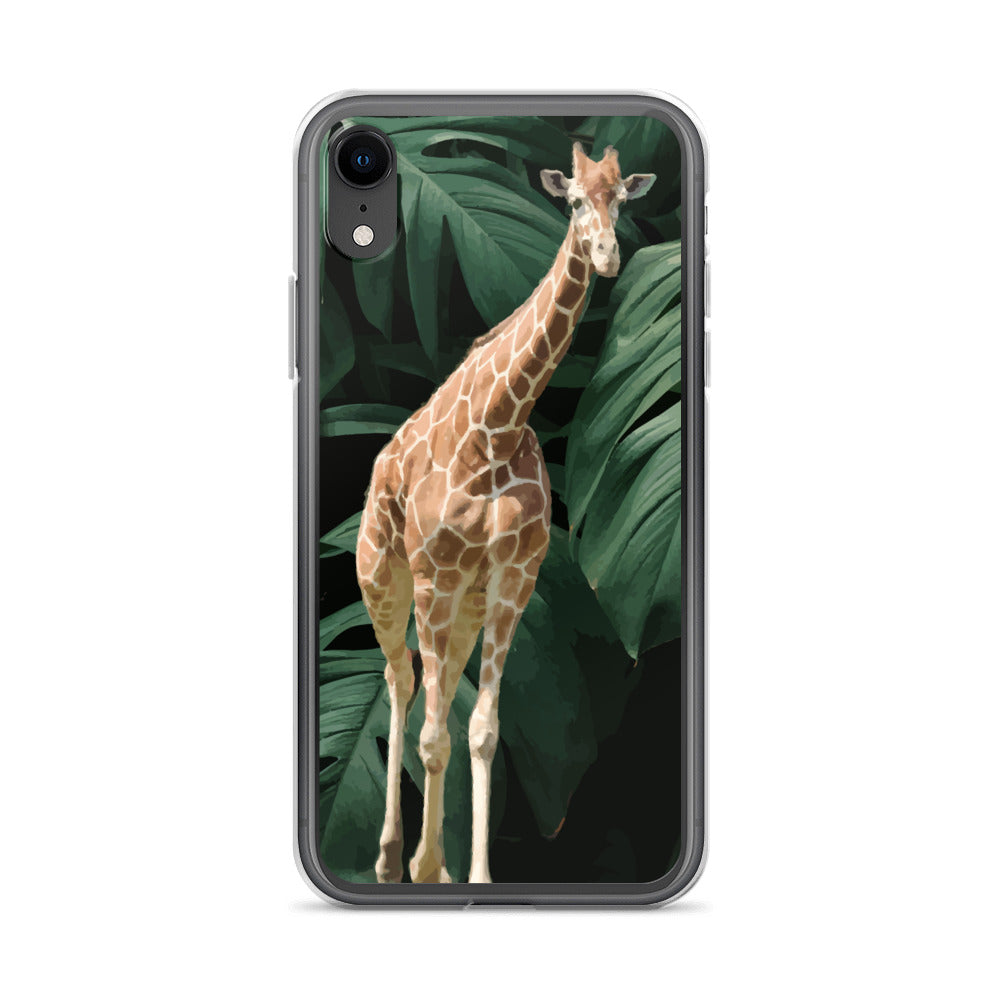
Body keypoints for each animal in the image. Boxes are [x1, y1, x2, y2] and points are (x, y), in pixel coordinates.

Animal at [355, 142, 656, 884]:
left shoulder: (513, 582)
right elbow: (434, 736)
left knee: (429, 690)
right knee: (400, 678)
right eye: (572, 200)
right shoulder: (433, 576)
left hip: (461, 603)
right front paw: (428, 868)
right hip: (383, 575)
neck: (496, 427)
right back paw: (389, 860)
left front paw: (470, 875)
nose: (607, 255)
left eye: (621, 200)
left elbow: (483, 731)